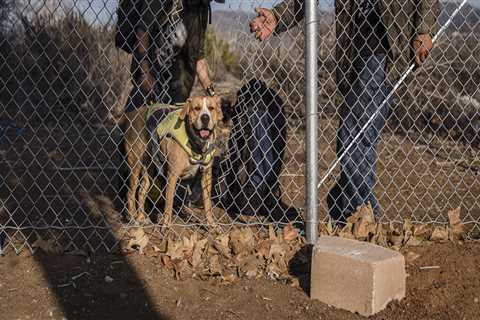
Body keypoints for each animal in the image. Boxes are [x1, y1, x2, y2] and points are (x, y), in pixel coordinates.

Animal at [122, 96, 223, 226]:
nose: (205, 117)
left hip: (149, 167)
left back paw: (141, 217)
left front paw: (211, 224)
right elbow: (169, 203)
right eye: (196, 108)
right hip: (135, 164)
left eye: (211, 108)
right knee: (130, 192)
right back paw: (132, 218)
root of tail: (131, 114)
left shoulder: (206, 175)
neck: (197, 143)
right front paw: (166, 226)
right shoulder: (172, 175)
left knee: (141, 191)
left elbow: (207, 203)